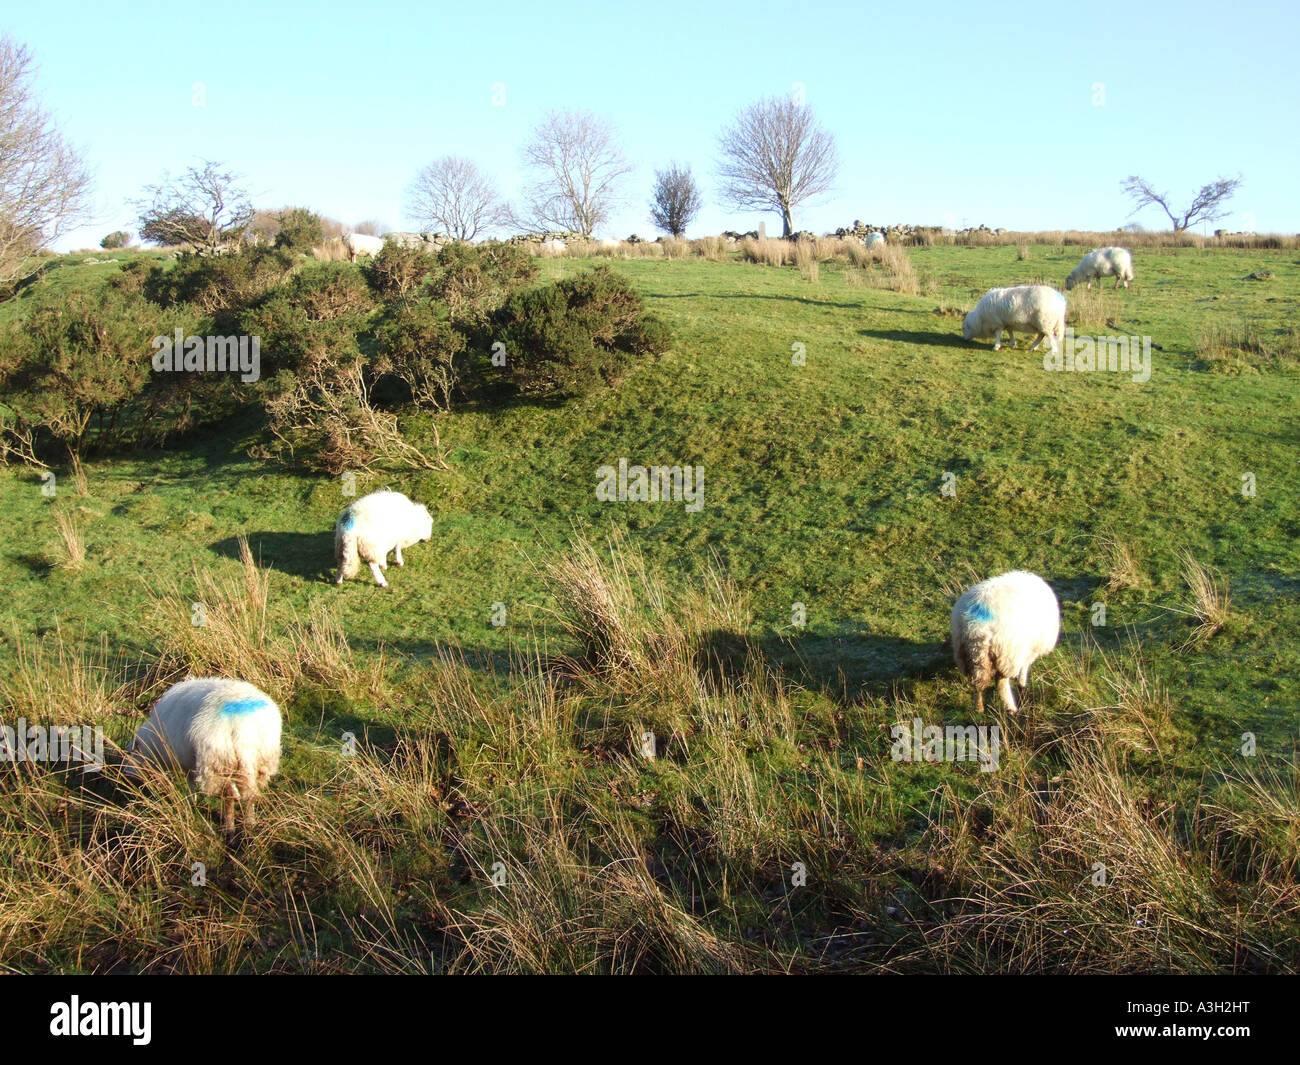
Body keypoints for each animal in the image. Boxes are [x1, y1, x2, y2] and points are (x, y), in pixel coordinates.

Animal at [128, 678, 282, 833]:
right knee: (251, 795)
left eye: (130, 753)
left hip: (217, 761)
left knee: (228, 796)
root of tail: (241, 729)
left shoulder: (184, 761)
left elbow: (190, 782)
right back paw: (250, 823)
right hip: (261, 760)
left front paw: (191, 802)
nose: (128, 775)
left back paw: (230, 828)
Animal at [950, 571, 1060, 714]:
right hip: (1007, 654)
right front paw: (1022, 684)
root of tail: (977, 627)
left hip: (968, 654)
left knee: (978, 682)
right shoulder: (1028, 650)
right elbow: (1025, 668)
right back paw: (1011, 708)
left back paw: (979, 708)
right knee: (1001, 681)